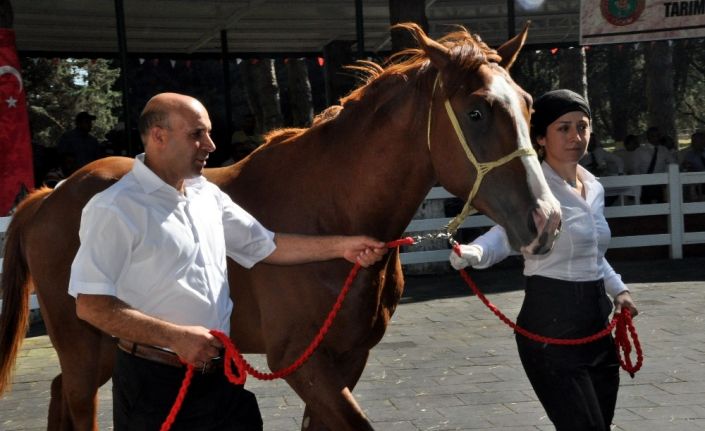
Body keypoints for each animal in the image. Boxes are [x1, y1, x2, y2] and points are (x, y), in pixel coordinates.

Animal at [1, 24, 560, 431]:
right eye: (476, 112)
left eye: (529, 104)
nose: (546, 219)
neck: (329, 206)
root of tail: (48, 197)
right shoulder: (299, 359)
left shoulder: (345, 357)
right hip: (86, 348)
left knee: (57, 394)